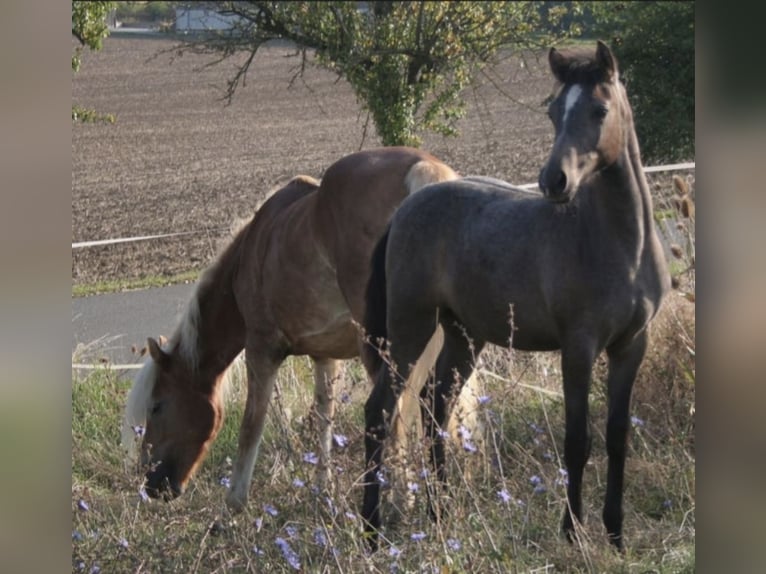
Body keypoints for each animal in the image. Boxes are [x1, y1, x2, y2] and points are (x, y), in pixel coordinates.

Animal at [122, 147, 476, 512]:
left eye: (157, 406)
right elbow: (323, 418)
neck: (251, 252)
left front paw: (233, 504)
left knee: (393, 415)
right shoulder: (326, 357)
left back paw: (399, 502)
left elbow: (252, 425)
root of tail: (422, 170)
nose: (151, 485)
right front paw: (323, 491)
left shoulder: (261, 350)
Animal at [364, 42, 668, 552]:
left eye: (600, 109)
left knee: (434, 405)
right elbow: (577, 439)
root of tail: (403, 211)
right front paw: (572, 532)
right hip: (410, 327)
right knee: (381, 410)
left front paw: (615, 533)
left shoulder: (631, 346)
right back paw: (371, 529)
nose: (554, 181)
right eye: (553, 110)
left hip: (464, 335)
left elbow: (617, 435)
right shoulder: (578, 347)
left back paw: (440, 514)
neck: (621, 245)